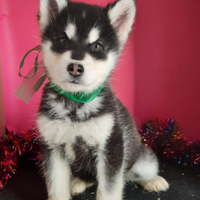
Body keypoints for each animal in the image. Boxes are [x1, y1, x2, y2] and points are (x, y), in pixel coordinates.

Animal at [36, 0, 170, 199]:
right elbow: (57, 188)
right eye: (62, 40)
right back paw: (77, 182)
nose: (75, 67)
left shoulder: (111, 146)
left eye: (97, 46)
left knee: (133, 174)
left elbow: (109, 188)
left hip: (144, 161)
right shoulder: (53, 147)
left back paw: (153, 180)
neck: (76, 106)